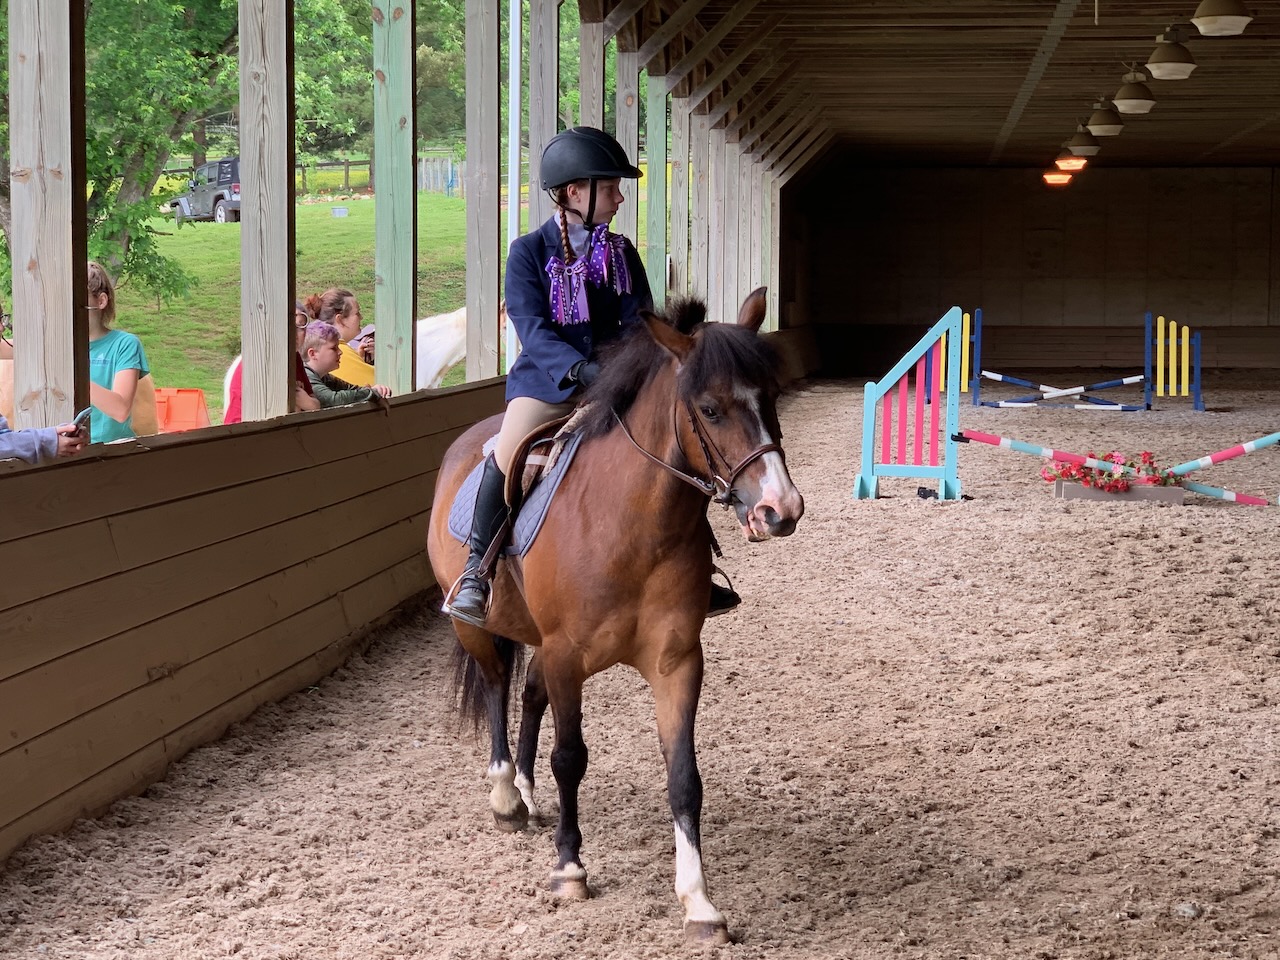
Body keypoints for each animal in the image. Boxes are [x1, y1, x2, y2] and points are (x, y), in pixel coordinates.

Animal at [425, 287, 804, 943]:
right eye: (710, 408)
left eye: (770, 397)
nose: (780, 509)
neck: (632, 525)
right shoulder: (566, 655)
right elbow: (570, 758)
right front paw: (569, 869)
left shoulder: (677, 661)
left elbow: (684, 778)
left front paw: (699, 903)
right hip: (473, 625)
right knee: (498, 686)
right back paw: (505, 795)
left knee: (529, 696)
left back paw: (525, 791)